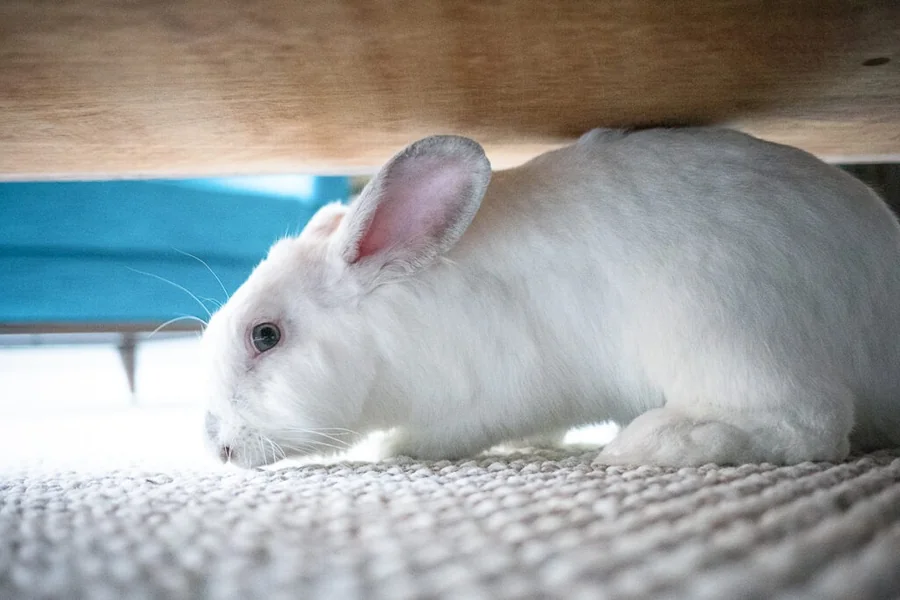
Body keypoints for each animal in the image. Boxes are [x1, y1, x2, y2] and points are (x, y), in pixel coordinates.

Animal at [200, 127, 900, 469]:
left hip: (720, 328)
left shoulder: (490, 393)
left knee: (806, 422)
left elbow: (451, 431)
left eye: (266, 335)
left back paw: (648, 445)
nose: (216, 446)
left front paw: (397, 447)